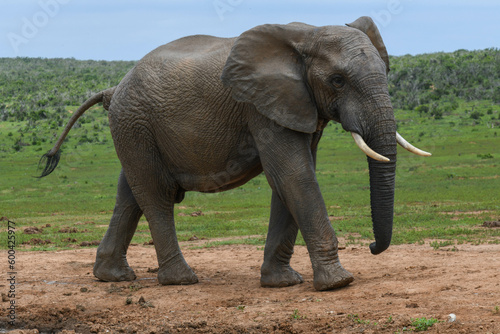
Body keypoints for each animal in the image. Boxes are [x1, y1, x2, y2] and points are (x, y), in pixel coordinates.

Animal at [38, 17, 430, 290]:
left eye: (386, 72)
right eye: (337, 80)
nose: (372, 247)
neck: (307, 33)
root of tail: (113, 89)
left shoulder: (297, 105)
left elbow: (289, 180)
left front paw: (282, 283)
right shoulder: (260, 106)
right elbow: (294, 175)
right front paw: (338, 283)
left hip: (135, 129)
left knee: (130, 194)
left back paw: (113, 276)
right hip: (134, 122)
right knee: (155, 194)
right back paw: (181, 280)